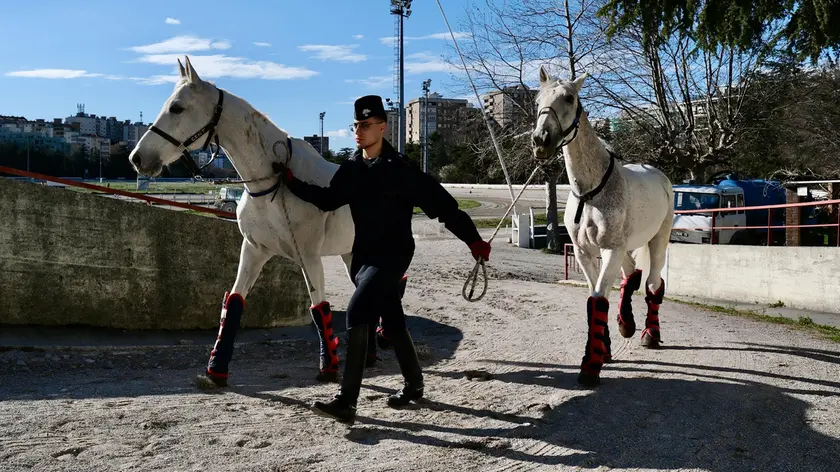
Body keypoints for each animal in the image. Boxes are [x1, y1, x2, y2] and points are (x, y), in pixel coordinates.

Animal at [127, 56, 398, 388]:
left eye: (177, 107)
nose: (138, 158)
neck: (274, 181)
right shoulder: (254, 250)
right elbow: (234, 301)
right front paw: (216, 368)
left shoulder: (309, 257)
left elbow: (318, 307)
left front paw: (329, 366)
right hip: (350, 254)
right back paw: (371, 355)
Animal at [532, 67, 676, 388]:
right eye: (537, 100)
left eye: (569, 98)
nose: (541, 140)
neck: (591, 192)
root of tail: (660, 176)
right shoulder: (585, 252)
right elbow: (596, 296)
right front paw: (605, 347)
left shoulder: (610, 248)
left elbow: (599, 297)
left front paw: (591, 365)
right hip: (625, 247)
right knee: (631, 276)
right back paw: (627, 324)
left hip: (657, 240)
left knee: (652, 283)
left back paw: (650, 333)